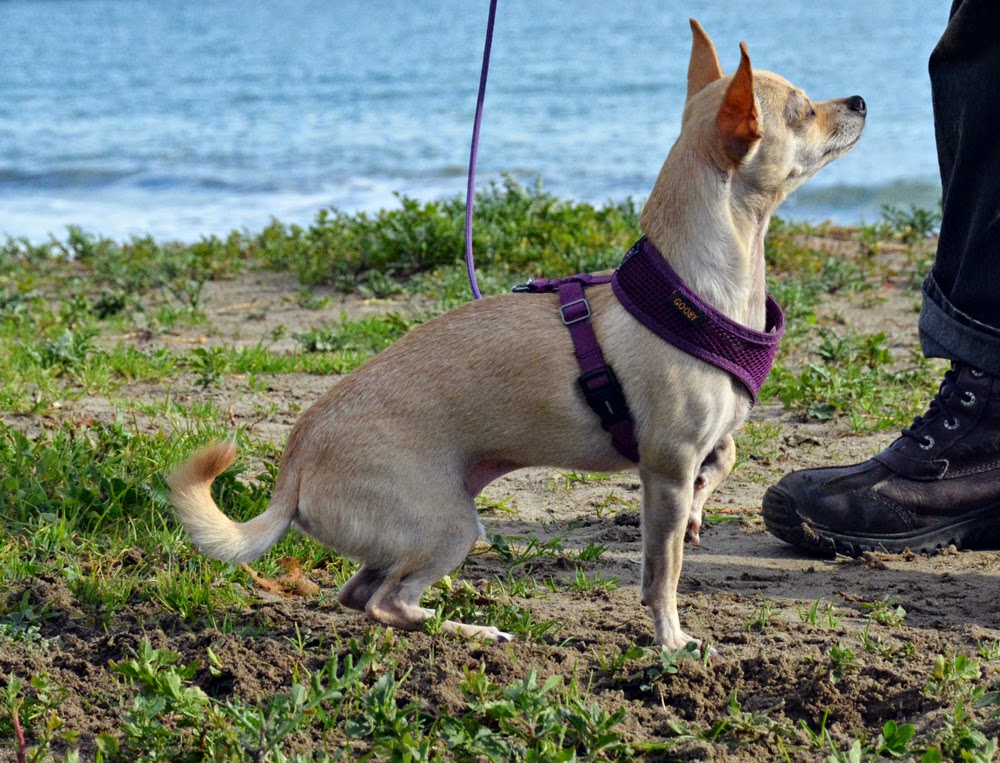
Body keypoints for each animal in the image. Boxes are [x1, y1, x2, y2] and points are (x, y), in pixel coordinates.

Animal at [167, 20, 865, 649]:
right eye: (804, 111)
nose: (859, 99)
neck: (694, 287)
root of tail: (297, 459)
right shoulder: (663, 467)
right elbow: (662, 571)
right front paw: (671, 640)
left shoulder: (695, 448)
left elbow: (725, 456)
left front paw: (699, 510)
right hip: (449, 525)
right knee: (385, 600)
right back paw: (473, 628)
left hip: (420, 528)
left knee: (360, 593)